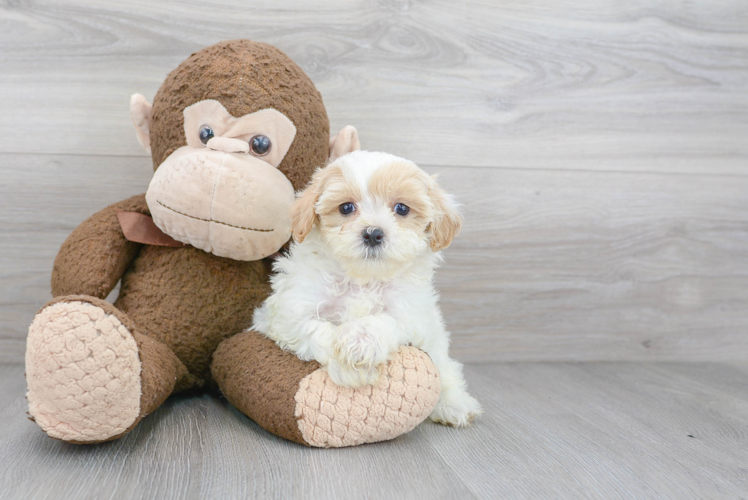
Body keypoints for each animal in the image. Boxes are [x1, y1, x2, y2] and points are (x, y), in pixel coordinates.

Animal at [254, 151, 482, 426]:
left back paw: (453, 405)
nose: (373, 233)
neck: (363, 278)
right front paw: (347, 367)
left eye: (402, 208)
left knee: (447, 371)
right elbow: (315, 328)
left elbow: (385, 320)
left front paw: (360, 343)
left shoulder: (412, 314)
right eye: (346, 207)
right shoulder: (288, 312)